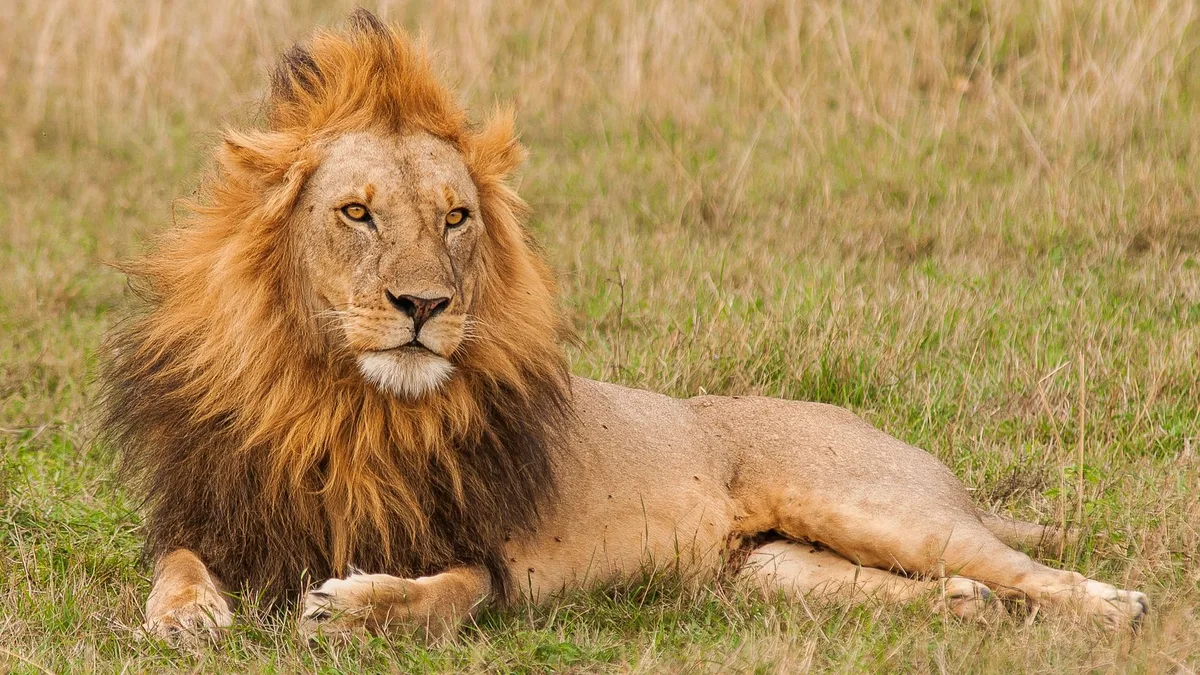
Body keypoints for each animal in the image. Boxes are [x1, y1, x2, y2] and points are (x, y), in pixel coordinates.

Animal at [102, 10, 1147, 644]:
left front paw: (356, 606)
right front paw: (188, 617)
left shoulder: (491, 560)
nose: (424, 307)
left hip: (875, 504)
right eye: (357, 213)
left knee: (1024, 565)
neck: (344, 402)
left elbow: (440, 595)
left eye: (455, 218)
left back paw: (1117, 606)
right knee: (947, 589)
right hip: (773, 573)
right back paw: (966, 607)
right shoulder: (214, 512)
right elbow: (175, 564)